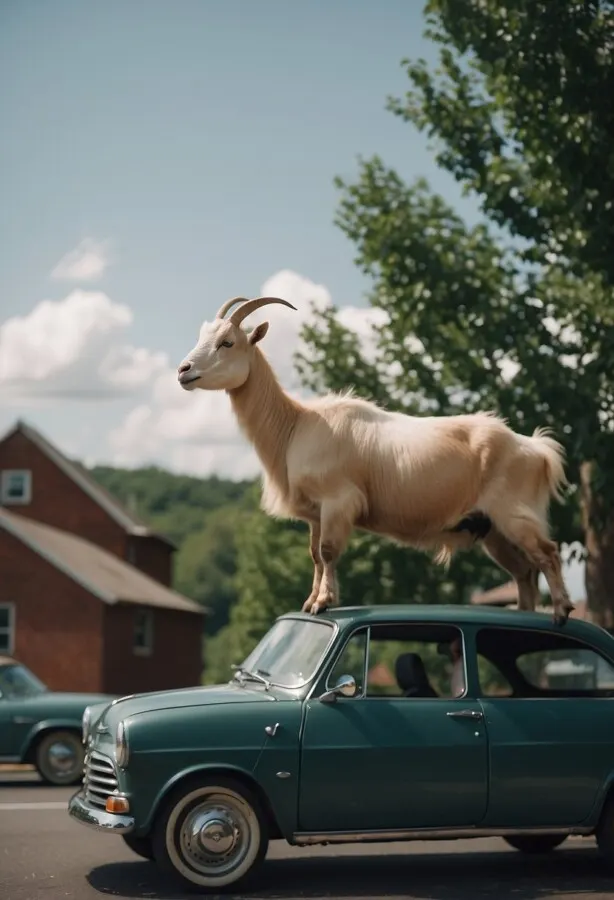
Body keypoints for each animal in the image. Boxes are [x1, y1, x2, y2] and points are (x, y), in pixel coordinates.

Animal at [178, 296, 576, 624]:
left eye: (227, 342)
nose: (184, 370)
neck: (294, 425)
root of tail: (536, 449)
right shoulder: (315, 514)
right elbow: (314, 555)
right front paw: (309, 602)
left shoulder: (338, 501)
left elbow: (328, 552)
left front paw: (323, 602)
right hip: (492, 529)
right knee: (525, 571)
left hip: (514, 512)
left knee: (548, 552)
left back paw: (561, 610)